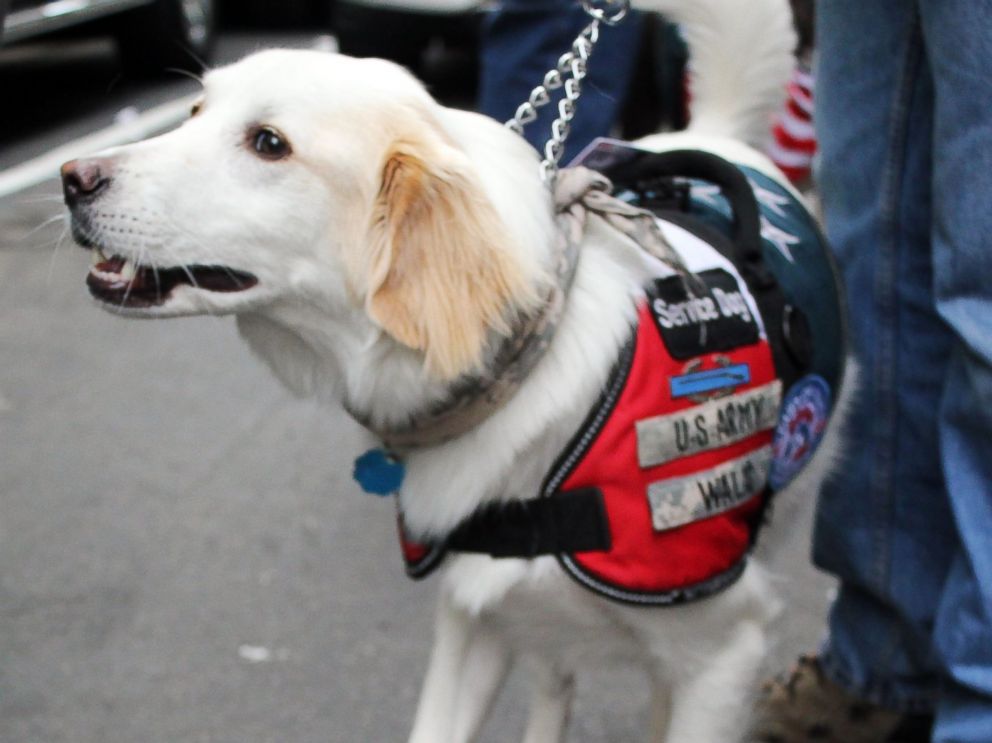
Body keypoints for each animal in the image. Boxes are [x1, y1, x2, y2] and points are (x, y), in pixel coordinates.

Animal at [60, 2, 844, 740]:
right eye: (195, 112)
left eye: (268, 144)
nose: (74, 178)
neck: (525, 357)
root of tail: (714, 135)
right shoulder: (472, 619)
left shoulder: (723, 653)